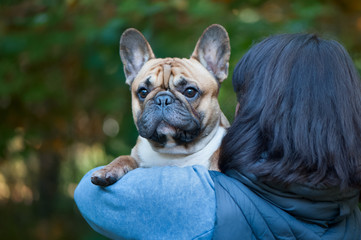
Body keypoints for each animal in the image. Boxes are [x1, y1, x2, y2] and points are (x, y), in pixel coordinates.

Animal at [91, 23, 229, 186]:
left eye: (190, 91)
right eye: (143, 92)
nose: (163, 99)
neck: (175, 153)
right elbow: (124, 158)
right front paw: (108, 169)